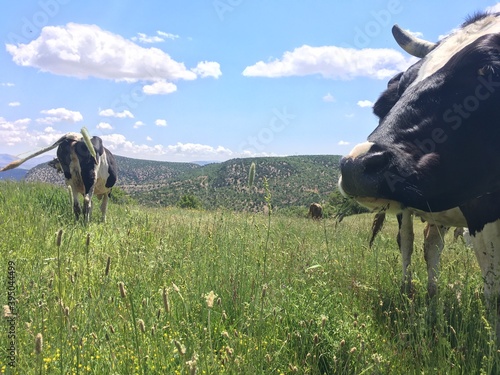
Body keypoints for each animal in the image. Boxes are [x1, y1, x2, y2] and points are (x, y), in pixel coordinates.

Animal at [338, 11, 500, 340]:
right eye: (404, 87)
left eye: (490, 69)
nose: (354, 166)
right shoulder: (482, 214)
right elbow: (495, 291)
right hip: (404, 209)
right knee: (408, 244)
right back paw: (409, 295)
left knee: (432, 247)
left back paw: (432, 298)